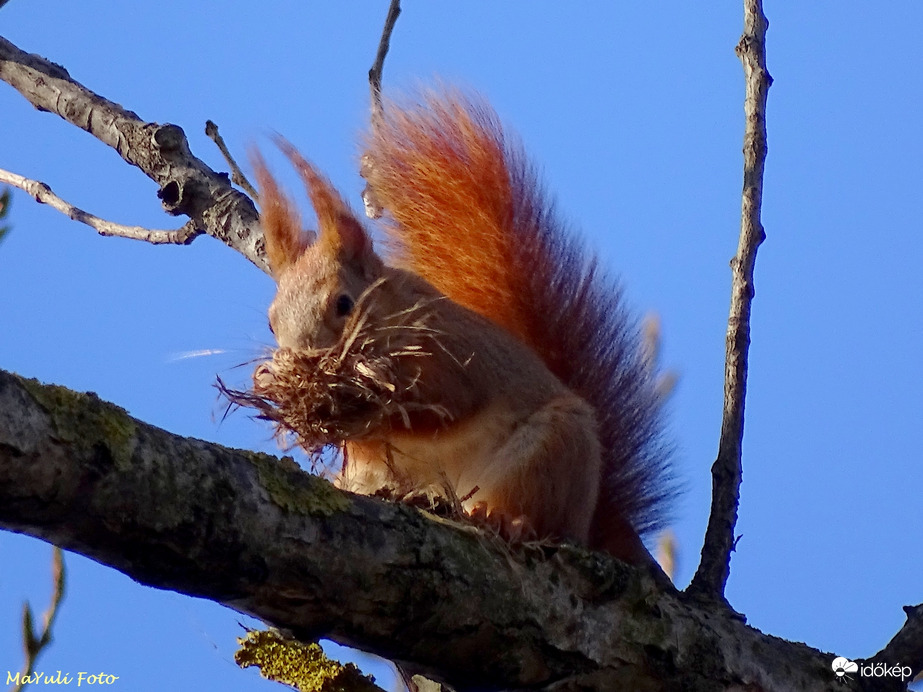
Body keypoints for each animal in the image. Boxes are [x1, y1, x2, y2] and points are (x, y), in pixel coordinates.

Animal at [249, 89, 676, 564]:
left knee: (535, 507)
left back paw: (506, 520)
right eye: (271, 323)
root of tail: (592, 519)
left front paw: (360, 401)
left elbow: (445, 404)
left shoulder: (454, 354)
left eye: (343, 304)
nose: (302, 363)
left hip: (555, 450)